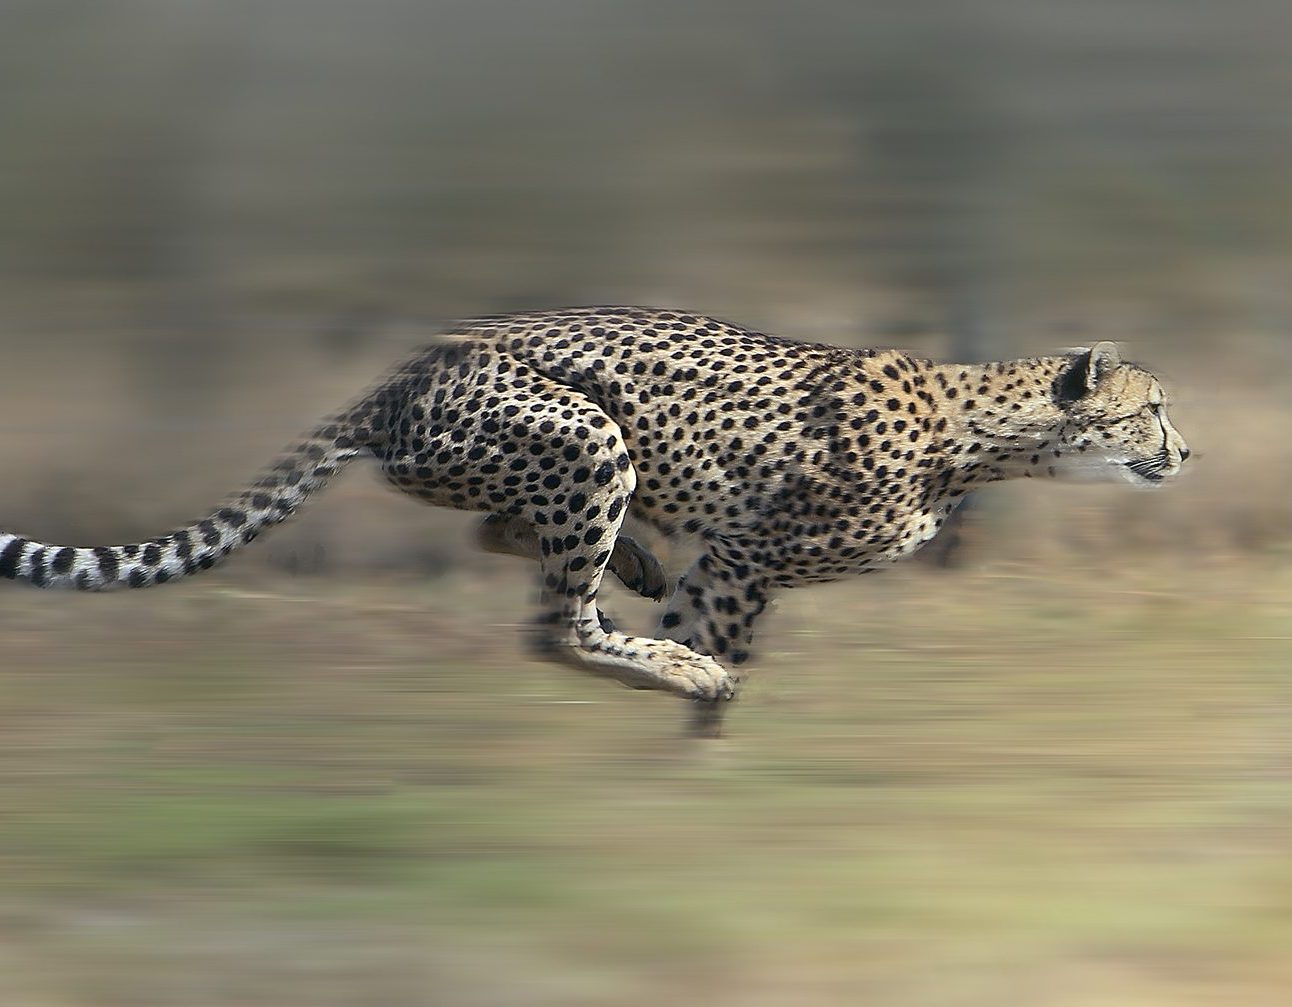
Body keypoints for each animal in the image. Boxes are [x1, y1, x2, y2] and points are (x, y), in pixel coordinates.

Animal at [0, 307, 1189, 733]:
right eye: (1152, 406)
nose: (1187, 453)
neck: (982, 429)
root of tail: (405, 370)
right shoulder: (746, 553)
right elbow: (719, 642)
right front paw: (696, 729)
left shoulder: (736, 556)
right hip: (582, 437)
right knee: (551, 623)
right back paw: (661, 645)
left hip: (548, 462)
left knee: (503, 537)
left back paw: (637, 571)